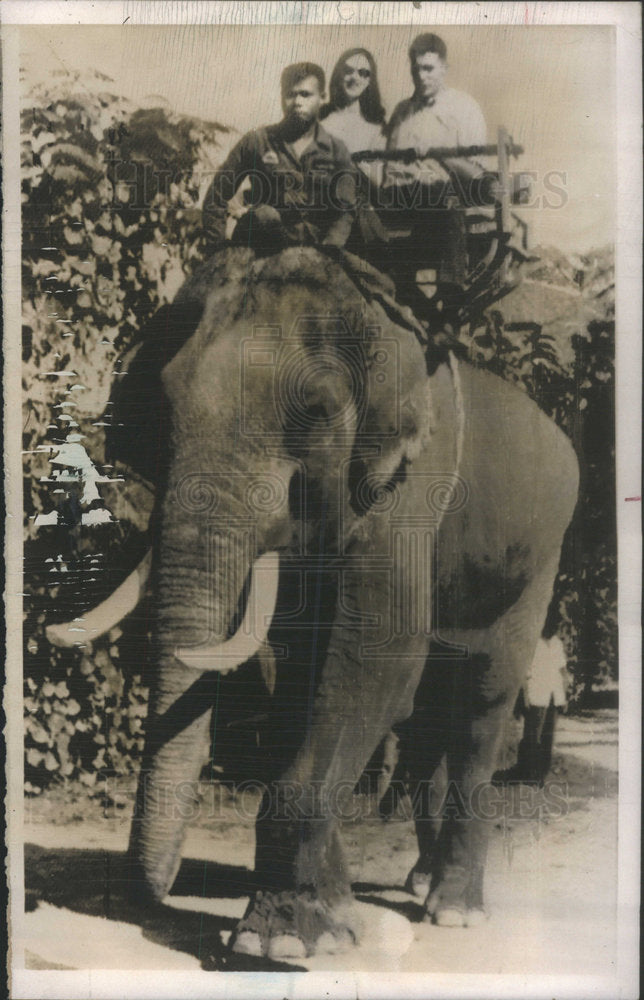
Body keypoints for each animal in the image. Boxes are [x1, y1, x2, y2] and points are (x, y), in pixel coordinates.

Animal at [47, 242, 576, 960]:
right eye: (162, 402)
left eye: (318, 410)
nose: (142, 899)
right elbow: (292, 672)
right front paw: (335, 920)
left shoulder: (409, 487)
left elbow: (378, 654)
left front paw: (274, 944)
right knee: (428, 712)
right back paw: (417, 883)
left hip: (539, 558)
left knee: (482, 702)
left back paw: (453, 911)